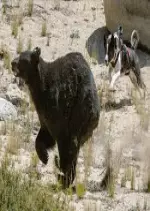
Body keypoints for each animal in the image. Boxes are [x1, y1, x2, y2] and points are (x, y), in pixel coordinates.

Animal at [11, 47, 100, 188]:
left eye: (23, 59)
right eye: (20, 55)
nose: (12, 63)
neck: (38, 84)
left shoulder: (52, 104)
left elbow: (53, 131)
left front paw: (47, 157)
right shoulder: (44, 113)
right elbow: (44, 135)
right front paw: (44, 156)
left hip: (77, 115)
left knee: (68, 145)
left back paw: (63, 174)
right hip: (87, 125)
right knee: (74, 147)